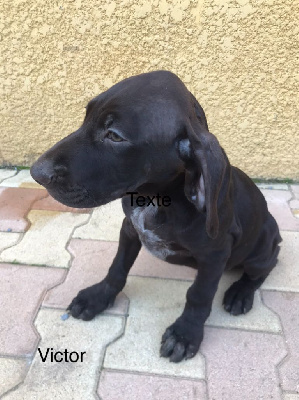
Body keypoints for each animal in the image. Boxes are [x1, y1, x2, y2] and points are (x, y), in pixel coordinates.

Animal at [30, 71, 282, 362]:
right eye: (86, 117)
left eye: (114, 136)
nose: (36, 173)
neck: (153, 198)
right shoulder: (130, 229)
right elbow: (117, 267)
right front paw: (99, 297)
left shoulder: (215, 254)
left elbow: (199, 294)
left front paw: (185, 334)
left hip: (262, 248)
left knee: (264, 269)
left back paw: (240, 293)